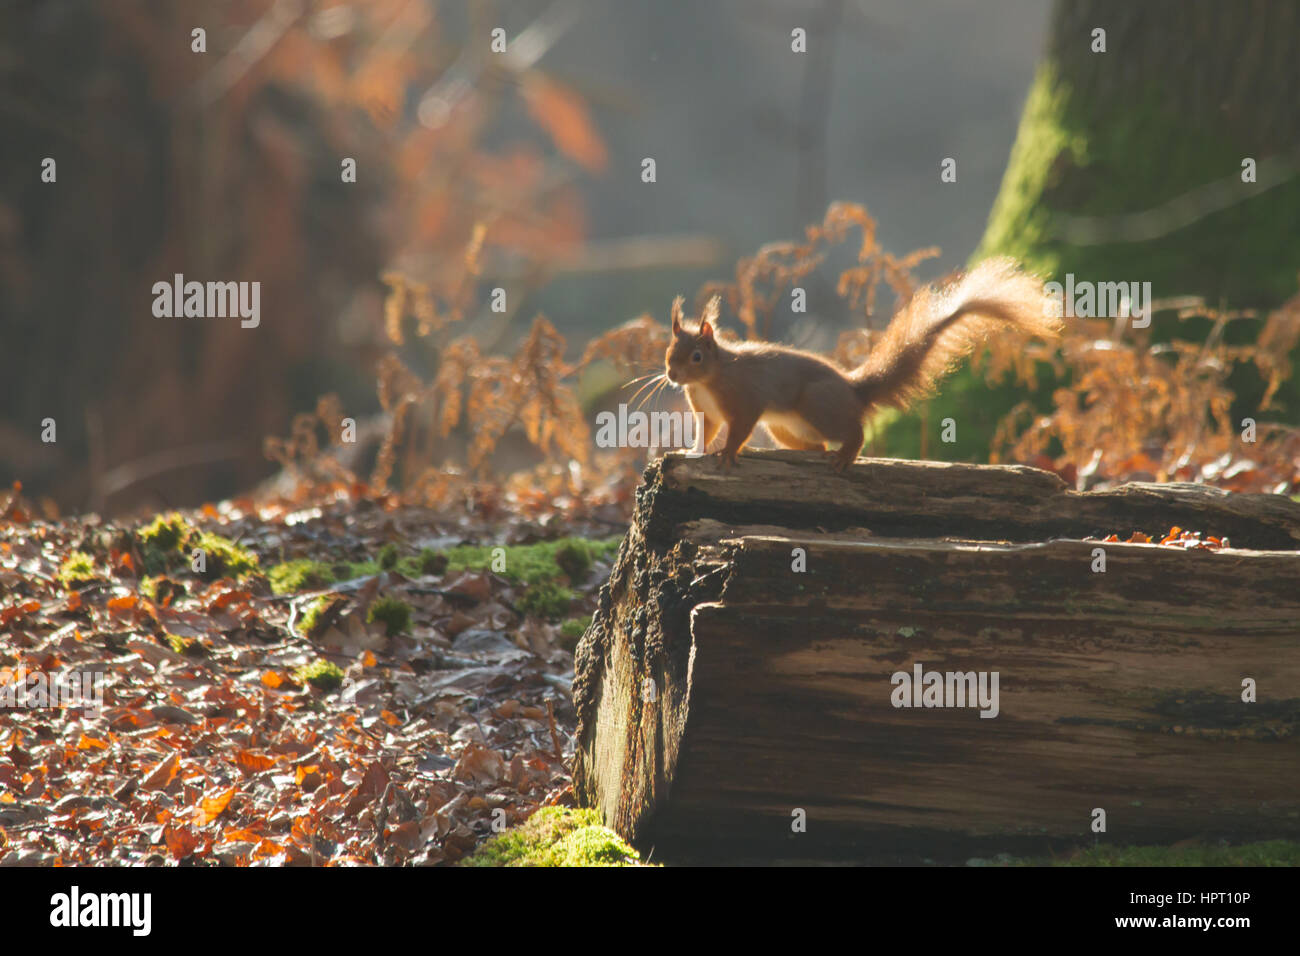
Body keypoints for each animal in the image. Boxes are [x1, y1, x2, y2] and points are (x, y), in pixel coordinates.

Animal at [665, 257, 1060, 470]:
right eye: (670, 351)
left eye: (697, 357)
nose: (671, 374)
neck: (709, 379)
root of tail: (854, 389)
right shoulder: (707, 411)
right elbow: (706, 431)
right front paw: (691, 450)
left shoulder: (744, 399)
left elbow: (740, 427)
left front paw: (729, 452)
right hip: (784, 427)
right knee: (817, 447)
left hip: (817, 406)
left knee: (855, 432)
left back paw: (845, 455)